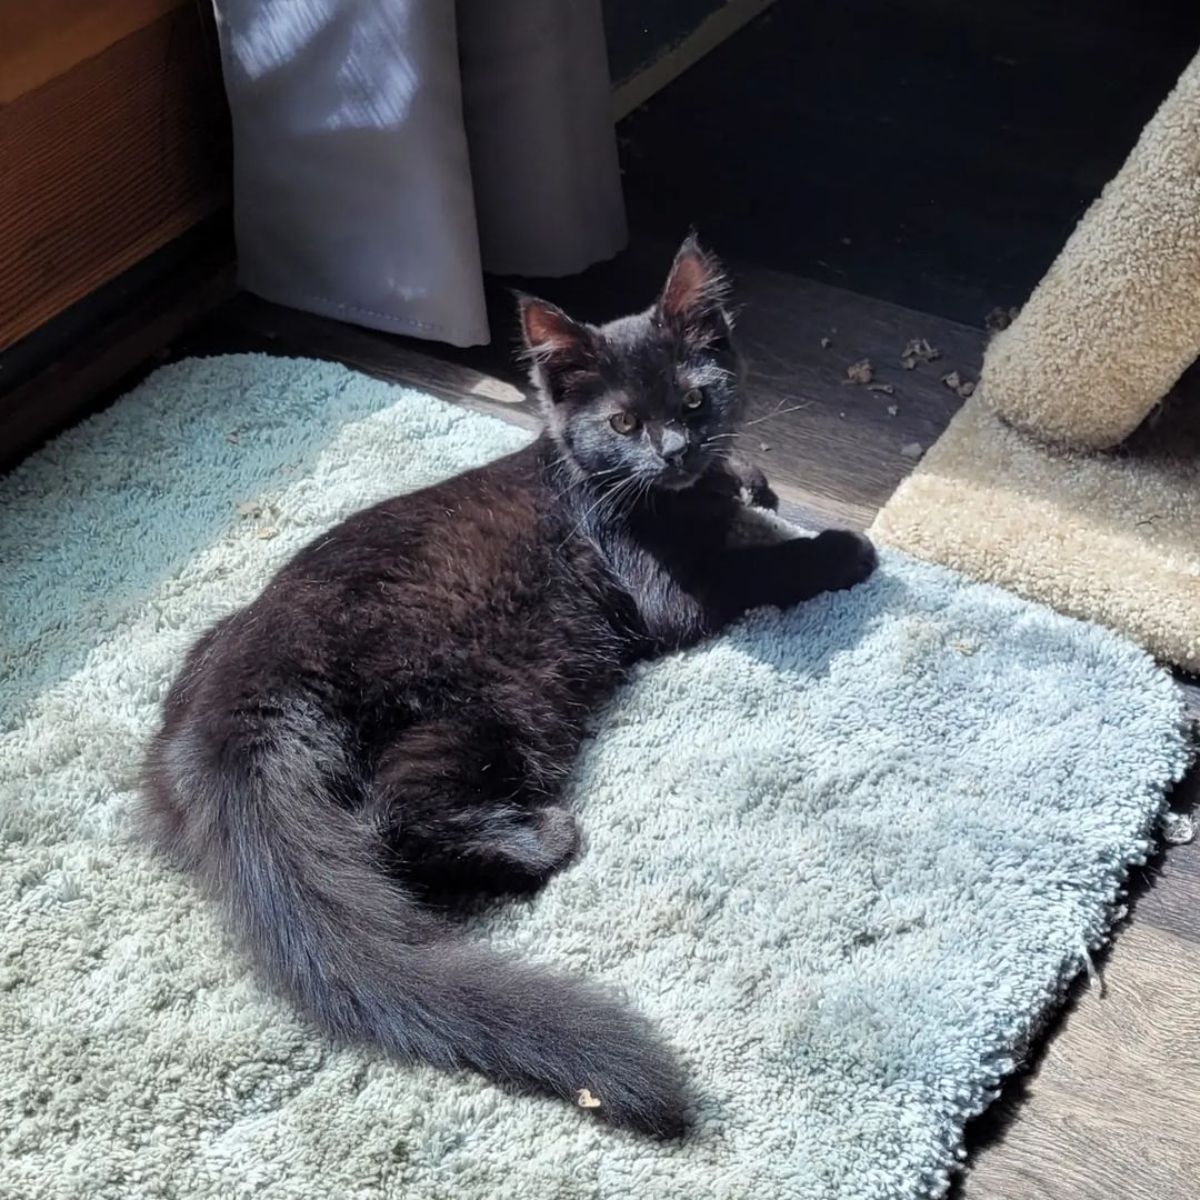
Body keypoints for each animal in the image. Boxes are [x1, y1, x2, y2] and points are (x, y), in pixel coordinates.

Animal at [140, 238, 878, 1137]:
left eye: (697, 400)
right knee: (393, 817)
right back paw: (540, 841)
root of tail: (239, 694)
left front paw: (747, 475)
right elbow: (763, 566)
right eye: (623, 423)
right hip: (499, 701)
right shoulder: (676, 594)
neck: (605, 481)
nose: (674, 451)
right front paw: (842, 548)